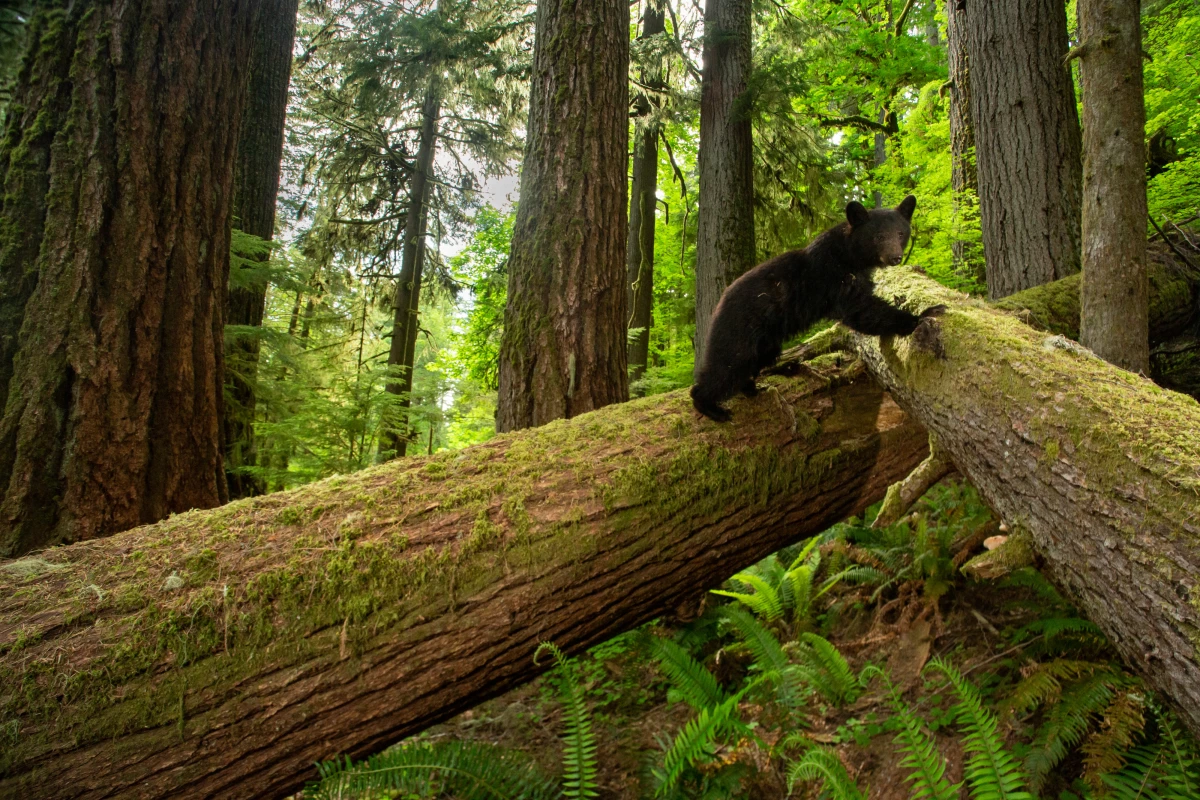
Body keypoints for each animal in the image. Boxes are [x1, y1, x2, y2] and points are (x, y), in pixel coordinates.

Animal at [690, 195, 944, 422]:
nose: (895, 257)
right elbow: (861, 310)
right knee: (728, 365)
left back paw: (751, 388)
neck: (850, 254)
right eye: (878, 236)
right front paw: (924, 314)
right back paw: (711, 407)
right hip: (740, 327)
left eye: (900, 233)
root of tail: (718, 304)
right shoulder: (833, 276)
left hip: (767, 340)